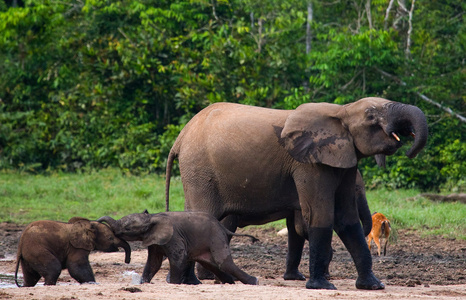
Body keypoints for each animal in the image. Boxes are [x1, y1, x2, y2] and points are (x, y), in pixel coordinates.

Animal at [99, 211, 258, 286]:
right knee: (214, 265)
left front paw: (174, 283)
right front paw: (142, 283)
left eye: (127, 228)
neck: (151, 217)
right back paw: (229, 283)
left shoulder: (173, 236)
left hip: (216, 238)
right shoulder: (155, 240)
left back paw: (254, 281)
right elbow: (153, 263)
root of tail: (223, 228)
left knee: (223, 263)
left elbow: (179, 257)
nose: (97, 220)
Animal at [166, 97, 428, 290]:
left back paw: (187, 281)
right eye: (372, 116)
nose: (409, 147)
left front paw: (373, 286)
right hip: (201, 171)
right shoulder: (308, 165)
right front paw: (322, 286)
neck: (341, 111)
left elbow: (345, 220)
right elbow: (320, 216)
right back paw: (196, 281)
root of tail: (180, 136)